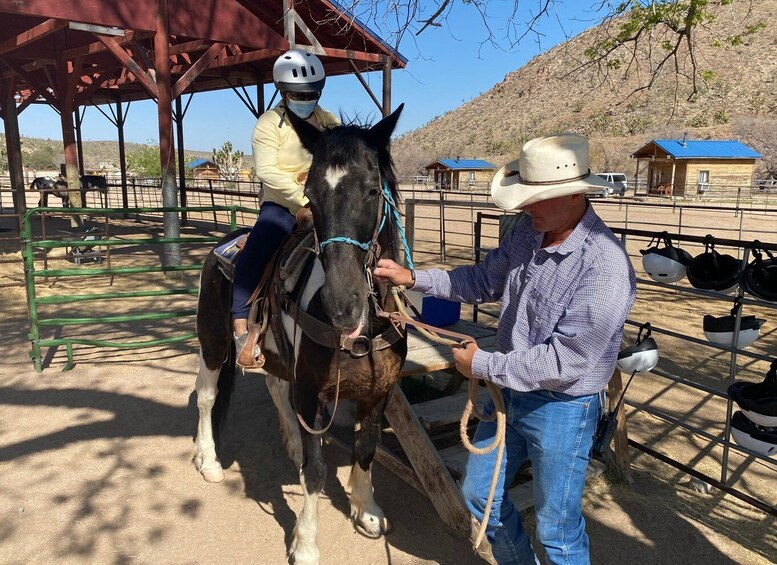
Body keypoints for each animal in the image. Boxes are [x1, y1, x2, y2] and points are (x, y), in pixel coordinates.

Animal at [193, 103, 410, 560]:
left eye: (371, 190)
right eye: (310, 193)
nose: (342, 303)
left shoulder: (380, 391)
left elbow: (366, 448)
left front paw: (367, 511)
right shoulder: (312, 393)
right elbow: (316, 471)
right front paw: (306, 544)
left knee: (276, 386)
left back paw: (290, 442)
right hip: (213, 341)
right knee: (206, 395)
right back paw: (209, 461)